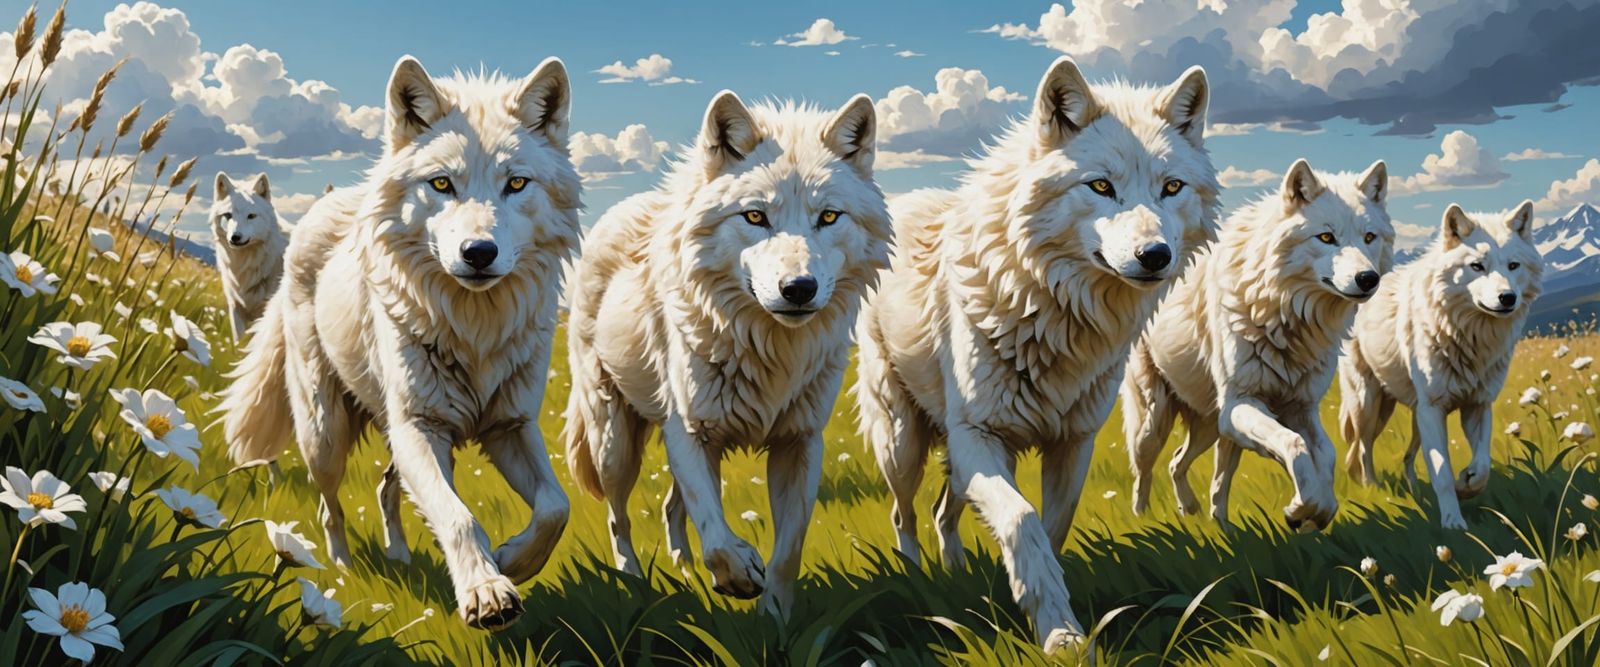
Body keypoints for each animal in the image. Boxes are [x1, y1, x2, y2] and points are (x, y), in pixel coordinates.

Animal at [220, 55, 580, 630]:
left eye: (517, 183)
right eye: (442, 183)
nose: (478, 252)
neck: (475, 329)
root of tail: (331, 201)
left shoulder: (510, 426)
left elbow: (555, 507)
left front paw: (511, 561)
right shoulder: (421, 427)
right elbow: (459, 517)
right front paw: (486, 592)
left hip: (395, 431)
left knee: (387, 488)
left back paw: (400, 556)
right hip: (326, 434)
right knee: (328, 505)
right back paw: (341, 568)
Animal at [562, 91, 888, 619]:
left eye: (828, 217)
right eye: (755, 217)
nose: (799, 288)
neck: (768, 348)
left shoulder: (800, 442)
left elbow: (788, 549)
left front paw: (774, 618)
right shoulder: (689, 430)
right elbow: (715, 533)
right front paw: (738, 576)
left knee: (671, 507)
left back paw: (686, 574)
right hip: (614, 442)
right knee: (618, 516)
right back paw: (633, 583)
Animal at [853, 56, 1218, 650]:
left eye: (1171, 187)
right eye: (1100, 186)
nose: (1155, 255)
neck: (1058, 315)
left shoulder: (1073, 443)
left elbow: (1051, 529)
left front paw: (1046, 612)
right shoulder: (979, 435)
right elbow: (1022, 522)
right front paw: (1058, 633)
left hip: (953, 457)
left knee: (941, 512)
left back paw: (955, 572)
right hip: (903, 442)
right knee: (903, 515)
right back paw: (918, 577)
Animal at [1124, 158, 1392, 533]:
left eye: (1369, 238)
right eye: (1326, 237)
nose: (1368, 279)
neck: (1285, 313)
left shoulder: (1299, 407)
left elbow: (1326, 455)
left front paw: (1316, 511)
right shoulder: (1243, 402)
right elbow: (1294, 445)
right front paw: (1300, 508)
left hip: (1212, 424)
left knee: (1187, 466)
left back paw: (1204, 516)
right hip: (1157, 421)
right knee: (1144, 470)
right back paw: (1141, 518)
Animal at [1338, 201, 1541, 529]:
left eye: (1513, 266)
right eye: (1477, 266)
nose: (1507, 298)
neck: (1471, 337)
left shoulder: (1478, 405)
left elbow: (1482, 465)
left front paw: (1466, 484)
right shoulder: (1433, 409)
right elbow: (1442, 472)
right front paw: (1453, 523)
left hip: (1411, 413)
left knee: (1406, 455)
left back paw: (1412, 487)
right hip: (1368, 405)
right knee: (1362, 448)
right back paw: (1372, 487)